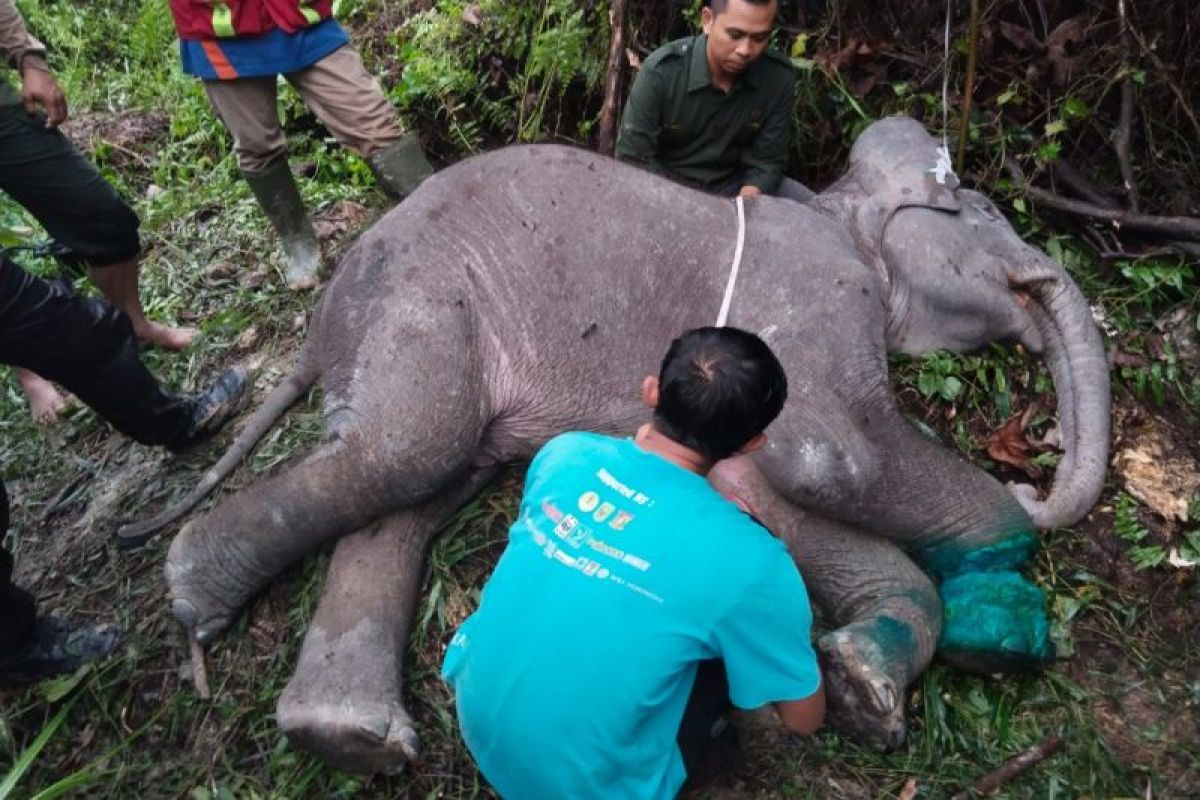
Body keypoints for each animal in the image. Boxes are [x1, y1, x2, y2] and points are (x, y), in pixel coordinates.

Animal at [121, 117, 1104, 767]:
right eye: (982, 209)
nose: (1034, 475)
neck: (840, 209)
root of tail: (318, 320)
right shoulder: (813, 298)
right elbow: (832, 461)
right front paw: (999, 613)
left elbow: (765, 485)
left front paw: (868, 685)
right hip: (418, 300)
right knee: (404, 452)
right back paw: (197, 600)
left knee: (414, 488)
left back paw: (346, 737)